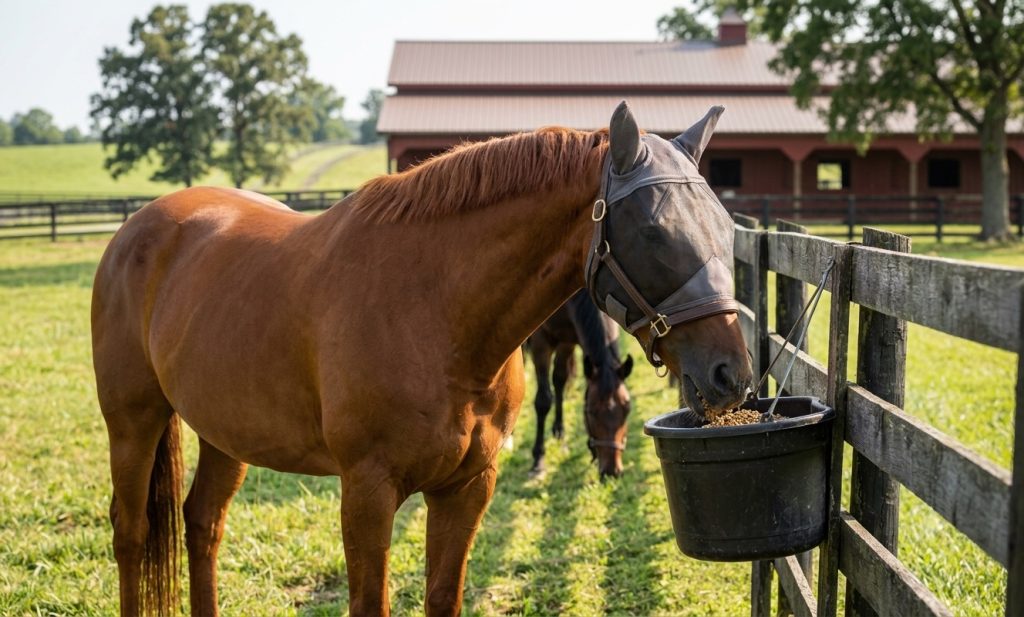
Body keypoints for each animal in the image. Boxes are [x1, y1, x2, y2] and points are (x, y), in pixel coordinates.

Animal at [526, 290, 633, 478]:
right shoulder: (541, 343)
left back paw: (559, 429)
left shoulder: (568, 339)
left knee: (559, 380)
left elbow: (560, 380)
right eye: (591, 412)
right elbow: (543, 401)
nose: (611, 472)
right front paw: (538, 459)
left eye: (627, 410)